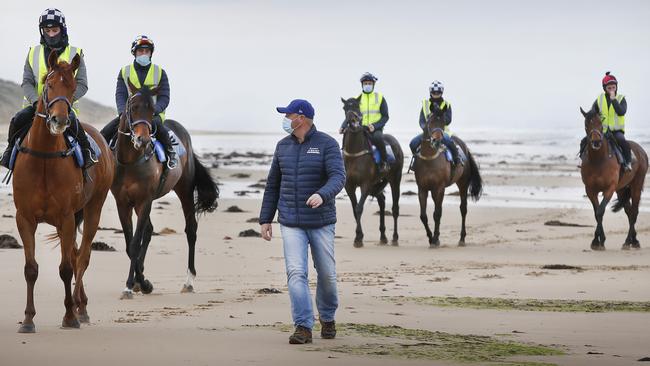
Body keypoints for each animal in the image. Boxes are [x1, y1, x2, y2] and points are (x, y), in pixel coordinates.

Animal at [11, 51, 114, 332]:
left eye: (71, 88)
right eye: (48, 84)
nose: (60, 120)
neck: (44, 158)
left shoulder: (67, 217)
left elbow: (67, 268)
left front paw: (69, 317)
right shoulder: (25, 218)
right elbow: (30, 269)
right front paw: (27, 319)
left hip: (92, 208)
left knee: (82, 257)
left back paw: (80, 308)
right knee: (76, 254)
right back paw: (80, 304)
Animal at [113, 81, 218, 298]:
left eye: (152, 110)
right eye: (133, 107)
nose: (143, 140)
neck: (131, 162)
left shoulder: (144, 200)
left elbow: (134, 243)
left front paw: (131, 285)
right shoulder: (123, 203)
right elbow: (129, 244)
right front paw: (141, 282)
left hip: (184, 189)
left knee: (191, 230)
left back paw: (189, 281)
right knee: (149, 231)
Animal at [340, 96, 400, 249]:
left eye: (357, 106)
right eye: (345, 108)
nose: (352, 120)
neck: (354, 154)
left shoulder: (365, 184)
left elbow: (359, 208)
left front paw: (358, 238)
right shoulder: (349, 186)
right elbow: (354, 209)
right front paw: (359, 236)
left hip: (394, 180)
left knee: (395, 208)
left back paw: (394, 238)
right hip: (376, 183)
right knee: (382, 201)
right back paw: (383, 237)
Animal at [412, 103, 478, 249]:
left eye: (443, 123)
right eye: (430, 121)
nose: (437, 140)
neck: (429, 159)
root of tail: (464, 147)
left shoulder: (439, 188)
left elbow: (437, 214)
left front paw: (435, 239)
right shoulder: (422, 189)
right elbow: (423, 216)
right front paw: (431, 238)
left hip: (463, 183)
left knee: (463, 209)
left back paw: (462, 239)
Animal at [576, 107, 644, 250]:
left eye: (601, 124)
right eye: (586, 124)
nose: (596, 142)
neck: (598, 160)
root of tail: (641, 151)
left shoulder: (609, 188)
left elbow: (600, 211)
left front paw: (598, 241)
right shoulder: (590, 190)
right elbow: (596, 213)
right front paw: (598, 241)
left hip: (636, 186)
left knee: (634, 212)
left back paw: (630, 241)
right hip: (622, 190)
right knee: (629, 212)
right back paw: (631, 240)